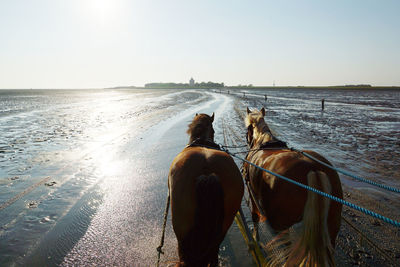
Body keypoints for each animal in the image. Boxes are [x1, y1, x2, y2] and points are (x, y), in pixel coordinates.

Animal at [242, 108, 342, 267]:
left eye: (248, 129)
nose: (247, 140)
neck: (263, 142)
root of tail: (313, 168)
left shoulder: (253, 194)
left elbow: (255, 216)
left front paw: (255, 238)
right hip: (332, 226)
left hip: (281, 226)